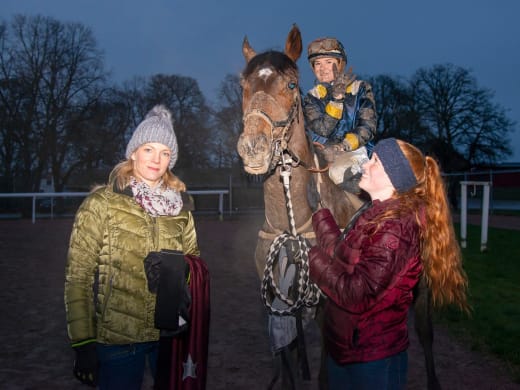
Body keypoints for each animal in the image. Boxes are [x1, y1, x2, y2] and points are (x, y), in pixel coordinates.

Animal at [238, 25, 440, 390]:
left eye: (291, 84)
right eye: (243, 86)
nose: (253, 147)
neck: (292, 227)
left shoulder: (329, 307)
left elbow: (324, 374)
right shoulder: (276, 307)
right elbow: (287, 365)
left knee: (425, 332)